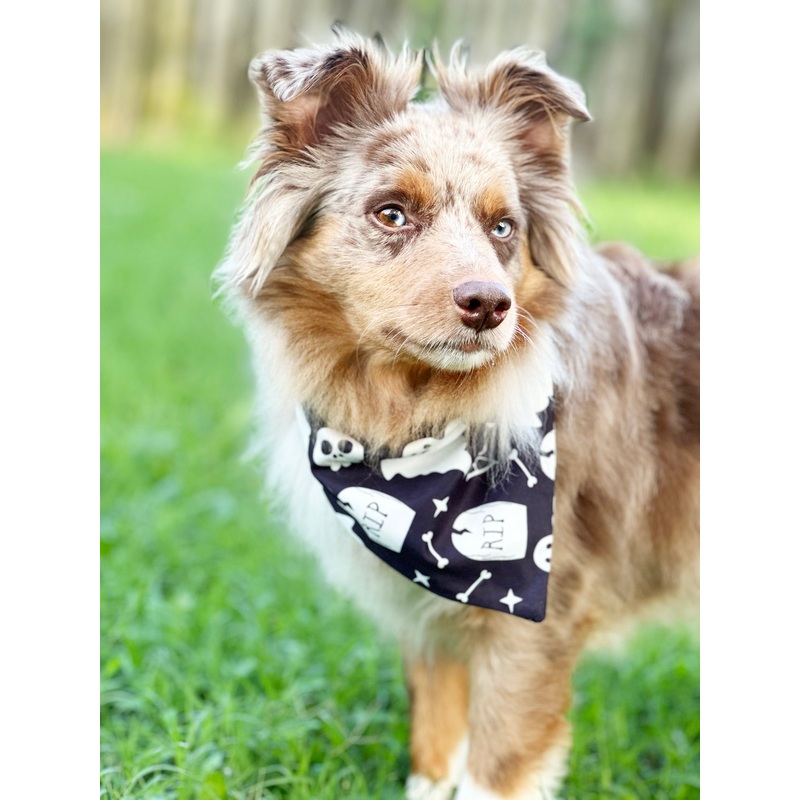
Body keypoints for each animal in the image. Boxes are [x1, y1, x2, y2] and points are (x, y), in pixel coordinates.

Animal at [216, 27, 699, 800]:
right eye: (391, 213)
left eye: (503, 227)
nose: (490, 304)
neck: (418, 413)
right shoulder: (428, 614)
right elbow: (436, 745)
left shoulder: (536, 624)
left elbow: (492, 769)